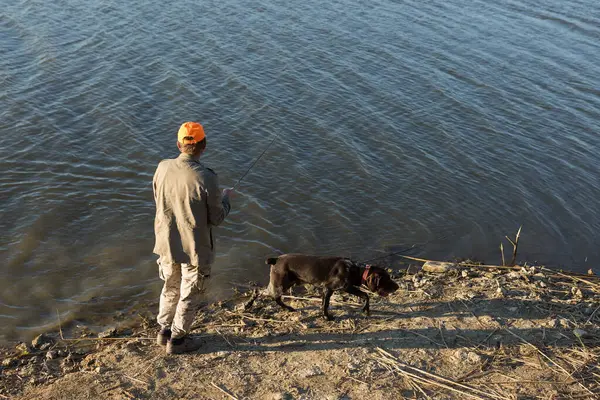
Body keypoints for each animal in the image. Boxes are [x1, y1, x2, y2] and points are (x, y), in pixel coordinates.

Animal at [244, 255, 398, 320]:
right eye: (387, 279)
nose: (397, 286)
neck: (354, 269)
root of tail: (276, 259)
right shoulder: (335, 288)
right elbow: (326, 305)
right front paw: (327, 317)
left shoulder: (332, 289)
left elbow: (324, 303)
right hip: (280, 284)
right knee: (260, 292)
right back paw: (248, 305)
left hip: (285, 283)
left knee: (274, 297)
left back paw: (288, 308)